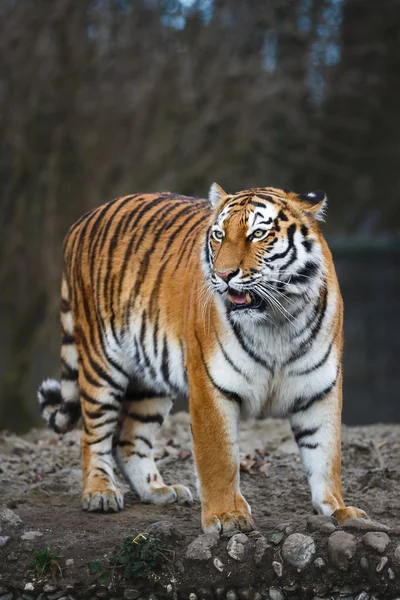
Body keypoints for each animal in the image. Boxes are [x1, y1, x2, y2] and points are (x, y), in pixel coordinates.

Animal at [37, 185, 366, 532]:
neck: (277, 320)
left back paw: (158, 491)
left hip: (150, 379)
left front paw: (339, 509)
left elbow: (326, 456)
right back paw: (100, 493)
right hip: (101, 363)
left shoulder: (320, 389)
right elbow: (219, 458)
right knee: (93, 435)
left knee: (128, 438)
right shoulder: (211, 384)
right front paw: (226, 516)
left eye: (258, 234)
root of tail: (83, 220)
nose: (223, 275)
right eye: (219, 235)